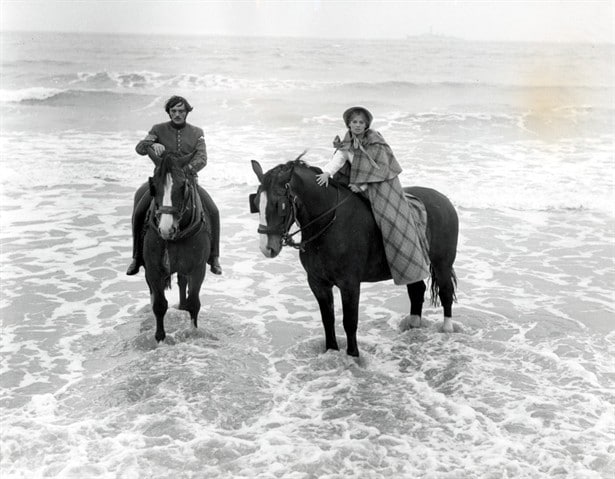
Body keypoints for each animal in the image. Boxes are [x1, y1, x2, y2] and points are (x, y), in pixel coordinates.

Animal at [144, 152, 212, 344]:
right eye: (154, 186)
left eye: (183, 186)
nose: (166, 229)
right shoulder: (153, 269)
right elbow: (159, 305)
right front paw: (160, 339)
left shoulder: (198, 269)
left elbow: (194, 303)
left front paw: (193, 333)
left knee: (182, 283)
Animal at [249, 158, 458, 356]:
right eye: (257, 202)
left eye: (279, 204)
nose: (266, 247)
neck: (328, 224)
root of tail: (444, 200)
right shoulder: (318, 283)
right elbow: (328, 319)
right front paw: (332, 351)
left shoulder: (349, 284)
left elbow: (349, 322)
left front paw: (353, 355)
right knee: (416, 291)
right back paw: (413, 326)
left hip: (442, 264)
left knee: (445, 292)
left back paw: (447, 328)